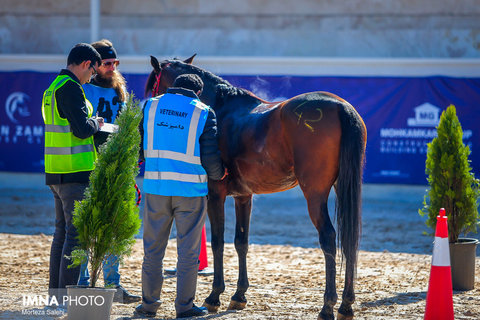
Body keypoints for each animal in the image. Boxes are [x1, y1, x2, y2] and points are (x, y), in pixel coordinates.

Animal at [144, 55, 366, 320]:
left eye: (152, 85)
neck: (222, 107)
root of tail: (341, 106)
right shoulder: (243, 196)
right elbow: (241, 242)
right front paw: (239, 296)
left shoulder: (216, 195)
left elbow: (218, 242)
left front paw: (214, 296)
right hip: (344, 188)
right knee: (349, 240)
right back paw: (346, 305)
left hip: (315, 194)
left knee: (329, 239)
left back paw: (327, 306)